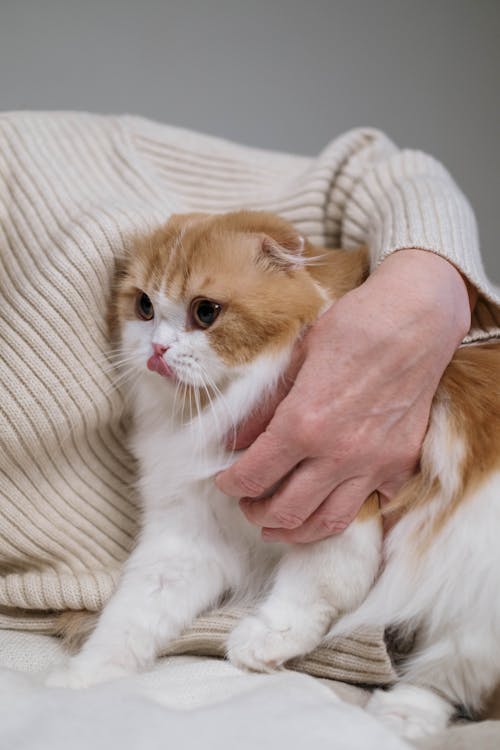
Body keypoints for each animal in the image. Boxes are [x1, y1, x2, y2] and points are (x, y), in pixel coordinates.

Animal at [47, 210, 500, 740]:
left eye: (205, 312)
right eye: (144, 306)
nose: (157, 349)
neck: (212, 411)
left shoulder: (338, 511)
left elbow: (312, 591)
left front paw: (262, 641)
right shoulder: (188, 540)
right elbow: (130, 619)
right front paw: (80, 684)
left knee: (442, 677)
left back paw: (399, 718)